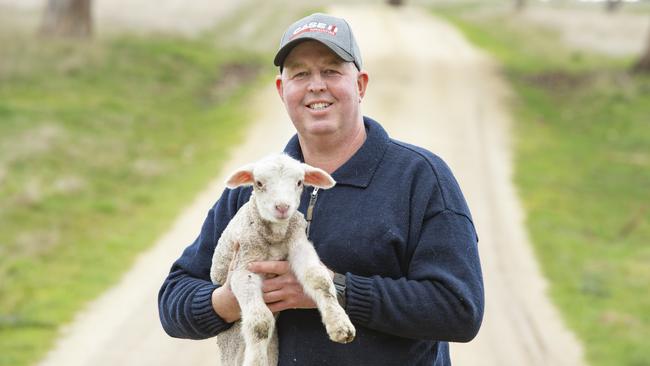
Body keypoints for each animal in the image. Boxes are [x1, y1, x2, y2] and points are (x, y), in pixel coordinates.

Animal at [209, 154, 354, 366]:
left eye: (300, 182)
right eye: (259, 183)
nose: (283, 207)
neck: (276, 237)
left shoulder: (298, 244)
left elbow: (319, 278)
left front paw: (340, 325)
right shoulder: (244, 265)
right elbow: (260, 322)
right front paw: (256, 363)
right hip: (232, 344)